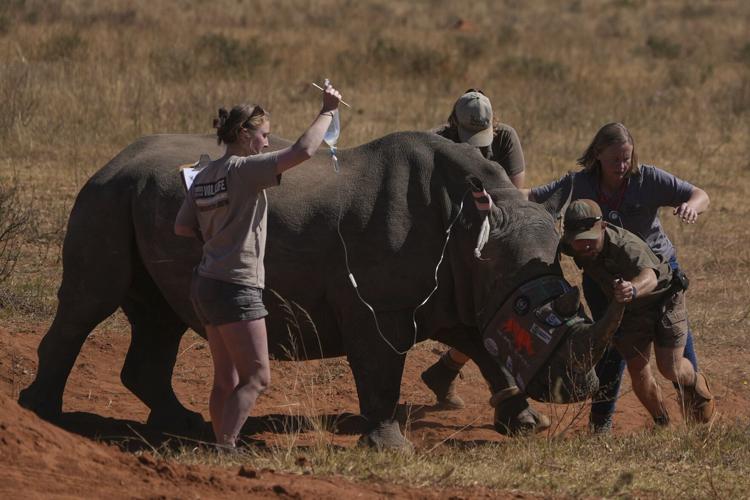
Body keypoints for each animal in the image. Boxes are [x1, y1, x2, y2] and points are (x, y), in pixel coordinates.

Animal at [19, 131, 623, 448]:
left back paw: (180, 425)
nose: (578, 389)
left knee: (160, 316)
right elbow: (381, 367)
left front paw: (527, 425)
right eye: (531, 309)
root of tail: (111, 159)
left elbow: (490, 352)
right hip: (106, 195)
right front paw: (389, 448)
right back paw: (43, 415)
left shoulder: (469, 292)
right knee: (90, 301)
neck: (474, 228)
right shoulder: (382, 307)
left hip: (136, 198)